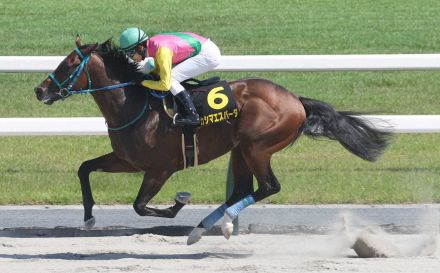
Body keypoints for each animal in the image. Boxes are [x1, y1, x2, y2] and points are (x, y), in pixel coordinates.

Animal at [35, 37, 392, 243]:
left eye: (68, 64)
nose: (40, 90)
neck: (133, 105)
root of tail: (296, 101)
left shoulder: (160, 168)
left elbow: (141, 206)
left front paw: (179, 202)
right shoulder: (126, 160)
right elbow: (84, 168)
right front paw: (89, 216)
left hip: (257, 146)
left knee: (268, 187)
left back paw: (216, 223)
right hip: (240, 149)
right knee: (243, 190)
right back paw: (211, 225)